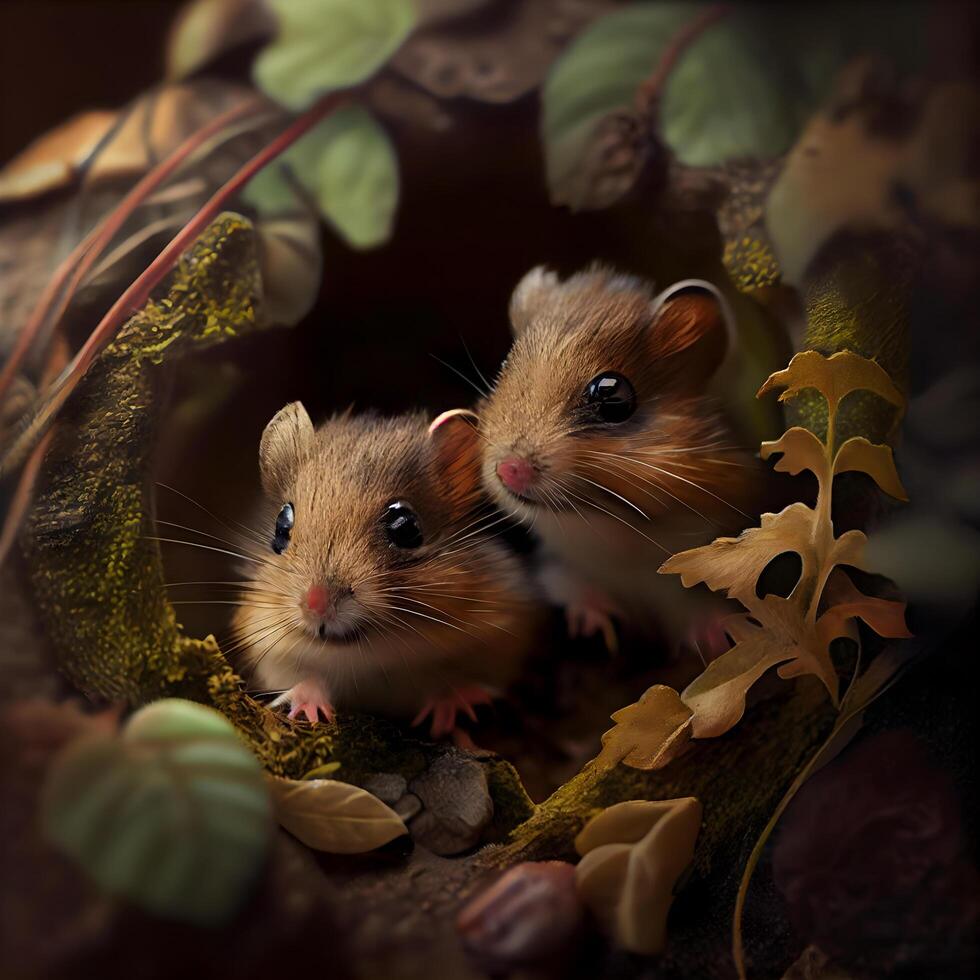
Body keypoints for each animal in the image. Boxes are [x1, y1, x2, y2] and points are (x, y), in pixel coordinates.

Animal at [230, 403, 538, 736]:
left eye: (405, 527)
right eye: (281, 526)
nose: (315, 605)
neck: (370, 659)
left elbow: (455, 682)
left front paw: (449, 711)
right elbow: (307, 678)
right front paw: (307, 707)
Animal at [477, 265, 768, 652]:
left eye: (611, 395)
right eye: (506, 366)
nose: (506, 470)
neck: (621, 545)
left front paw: (724, 637)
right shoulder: (555, 567)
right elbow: (570, 585)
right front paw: (600, 624)